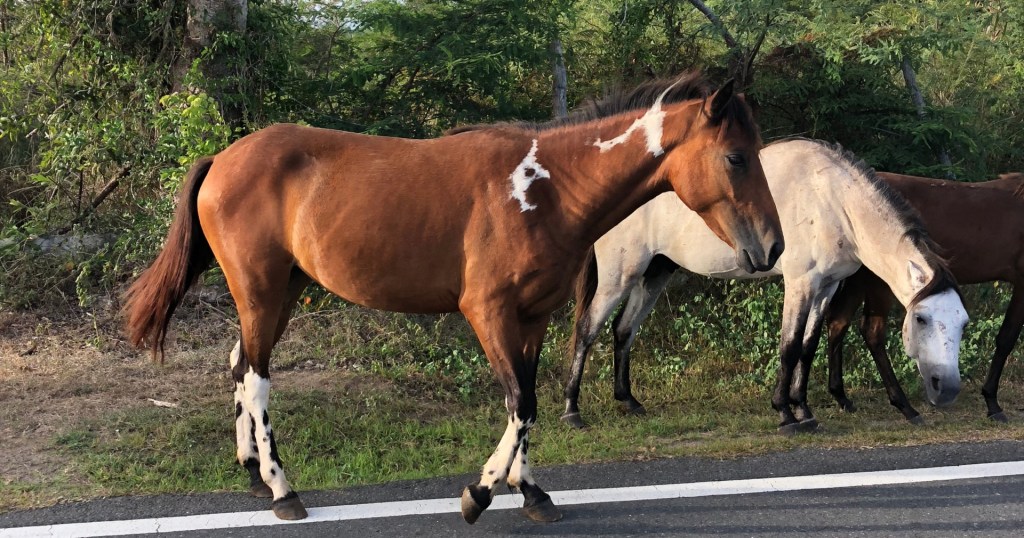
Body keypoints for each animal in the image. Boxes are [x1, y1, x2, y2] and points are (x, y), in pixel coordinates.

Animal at [123, 73, 784, 524]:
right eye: (735, 157)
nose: (773, 247)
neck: (546, 189)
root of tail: (221, 159)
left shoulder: (533, 317)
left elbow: (528, 400)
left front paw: (531, 491)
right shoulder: (486, 313)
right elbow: (521, 402)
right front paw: (480, 492)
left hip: (281, 291)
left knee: (240, 366)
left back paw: (255, 475)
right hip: (260, 291)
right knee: (257, 378)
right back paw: (284, 490)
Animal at [564, 138, 967, 433]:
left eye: (962, 322)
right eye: (921, 319)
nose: (946, 388)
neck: (831, 198)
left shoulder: (826, 287)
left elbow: (808, 347)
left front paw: (803, 410)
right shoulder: (800, 283)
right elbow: (789, 347)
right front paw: (785, 414)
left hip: (653, 275)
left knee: (623, 330)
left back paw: (629, 402)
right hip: (619, 275)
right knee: (588, 330)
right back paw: (572, 411)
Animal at [825, 172, 1024, 423]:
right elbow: (1006, 339)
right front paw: (992, 403)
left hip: (858, 280)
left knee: (838, 322)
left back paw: (841, 397)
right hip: (879, 283)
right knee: (872, 332)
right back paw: (906, 407)